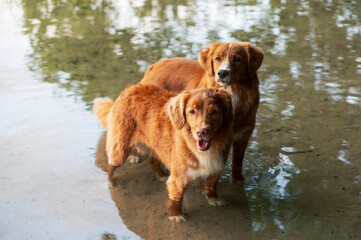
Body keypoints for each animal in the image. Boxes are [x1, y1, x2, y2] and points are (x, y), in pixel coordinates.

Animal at [92, 84, 233, 221]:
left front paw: (213, 198)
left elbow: (212, 186)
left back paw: (161, 175)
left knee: (153, 160)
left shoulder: (216, 169)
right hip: (120, 150)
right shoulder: (178, 179)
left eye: (214, 112)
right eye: (192, 111)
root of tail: (129, 88)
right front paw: (176, 215)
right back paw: (110, 182)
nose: (201, 132)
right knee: (110, 166)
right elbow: (177, 200)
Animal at [140, 41, 262, 180]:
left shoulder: (242, 137)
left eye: (237, 59)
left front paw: (239, 182)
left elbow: (237, 166)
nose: (222, 73)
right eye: (218, 58)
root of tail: (153, 66)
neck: (232, 91)